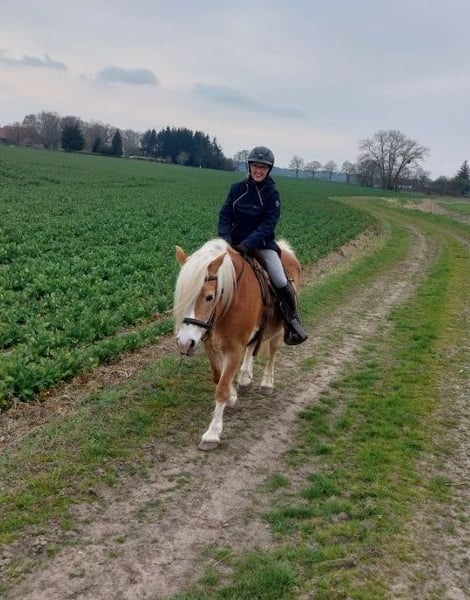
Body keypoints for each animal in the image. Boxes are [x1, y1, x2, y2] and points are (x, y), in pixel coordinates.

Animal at [173, 238, 303, 451]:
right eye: (181, 296)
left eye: (209, 297)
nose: (184, 344)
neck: (228, 300)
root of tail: (286, 250)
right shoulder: (211, 345)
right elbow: (219, 377)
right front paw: (233, 397)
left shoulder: (234, 349)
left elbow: (222, 388)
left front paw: (212, 434)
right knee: (252, 347)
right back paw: (244, 378)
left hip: (278, 329)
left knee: (273, 352)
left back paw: (267, 383)